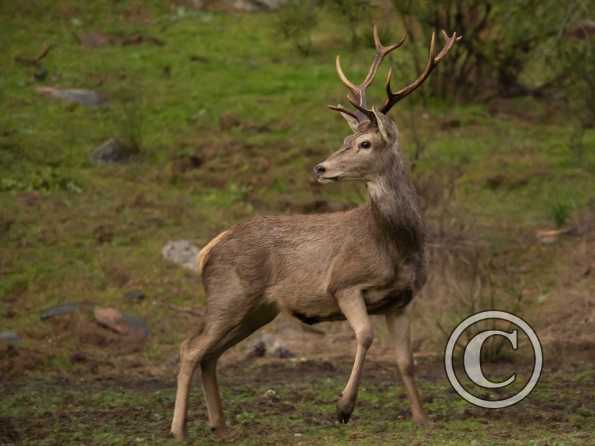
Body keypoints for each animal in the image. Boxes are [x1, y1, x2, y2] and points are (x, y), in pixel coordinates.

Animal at [170, 26, 464, 440]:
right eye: (345, 141)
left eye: (364, 143)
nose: (320, 168)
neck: (395, 243)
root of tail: (207, 249)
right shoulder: (345, 283)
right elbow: (365, 335)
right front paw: (343, 408)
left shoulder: (403, 299)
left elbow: (406, 361)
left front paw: (423, 418)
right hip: (228, 294)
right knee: (190, 347)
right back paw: (179, 429)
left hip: (257, 308)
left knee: (210, 354)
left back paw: (220, 424)